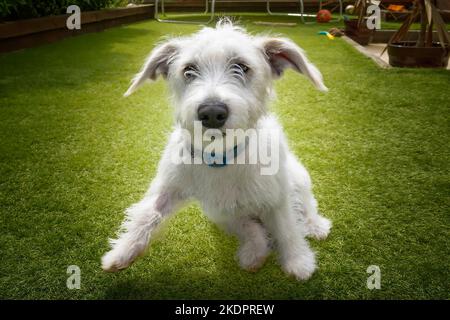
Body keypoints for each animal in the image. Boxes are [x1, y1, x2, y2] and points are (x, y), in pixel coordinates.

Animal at [102, 20, 330, 280]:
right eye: (188, 70)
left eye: (242, 67)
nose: (211, 112)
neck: (221, 156)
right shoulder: (170, 187)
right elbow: (147, 214)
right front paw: (122, 252)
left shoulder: (277, 199)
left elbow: (288, 230)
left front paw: (298, 261)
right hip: (221, 213)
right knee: (251, 228)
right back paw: (253, 252)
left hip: (299, 178)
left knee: (306, 205)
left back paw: (315, 226)